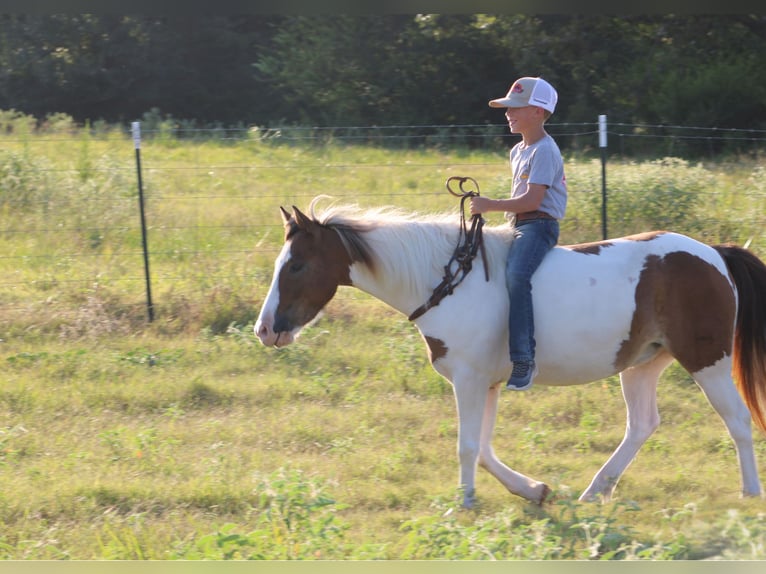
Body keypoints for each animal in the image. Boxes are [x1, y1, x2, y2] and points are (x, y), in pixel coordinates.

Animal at [254, 196, 766, 507]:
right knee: (642, 425)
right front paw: (534, 490)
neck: (447, 281)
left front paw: (463, 504)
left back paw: (749, 493)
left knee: (738, 421)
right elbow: (483, 448)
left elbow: (466, 446)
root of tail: (714, 254)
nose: (265, 330)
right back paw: (594, 491)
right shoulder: (489, 383)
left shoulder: (469, 380)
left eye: (296, 265)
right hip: (643, 364)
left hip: (707, 361)